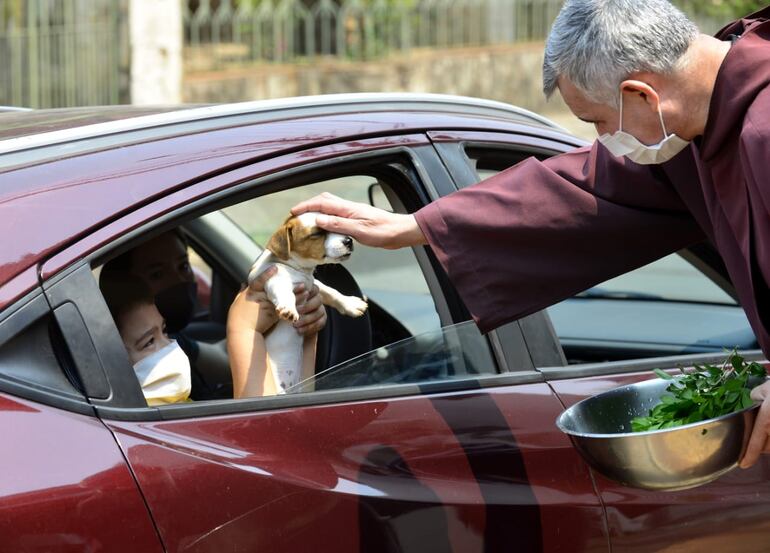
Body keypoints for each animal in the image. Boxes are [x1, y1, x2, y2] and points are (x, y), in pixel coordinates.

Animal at [246, 210, 366, 392]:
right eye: (316, 233)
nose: (348, 240)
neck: (296, 268)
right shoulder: (275, 277)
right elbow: (283, 291)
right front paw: (288, 308)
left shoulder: (313, 284)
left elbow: (331, 291)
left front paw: (351, 304)